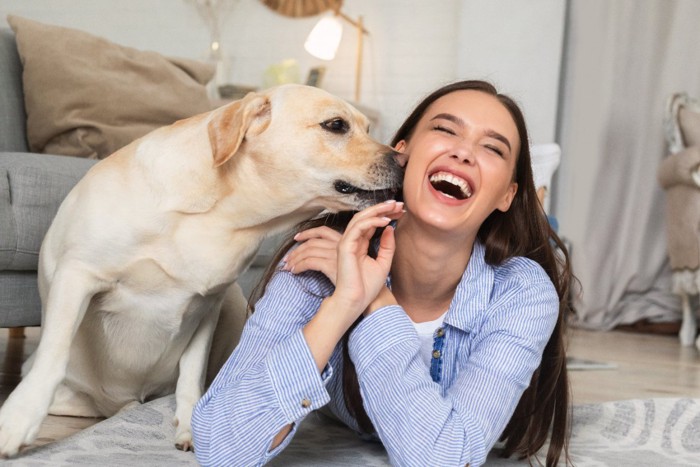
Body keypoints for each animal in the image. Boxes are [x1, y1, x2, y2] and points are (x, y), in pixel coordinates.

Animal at [0, 84, 404, 458]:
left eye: (368, 127)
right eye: (336, 125)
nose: (403, 160)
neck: (221, 214)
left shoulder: (209, 302)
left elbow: (191, 373)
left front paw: (189, 426)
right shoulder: (77, 275)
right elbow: (53, 355)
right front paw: (18, 420)